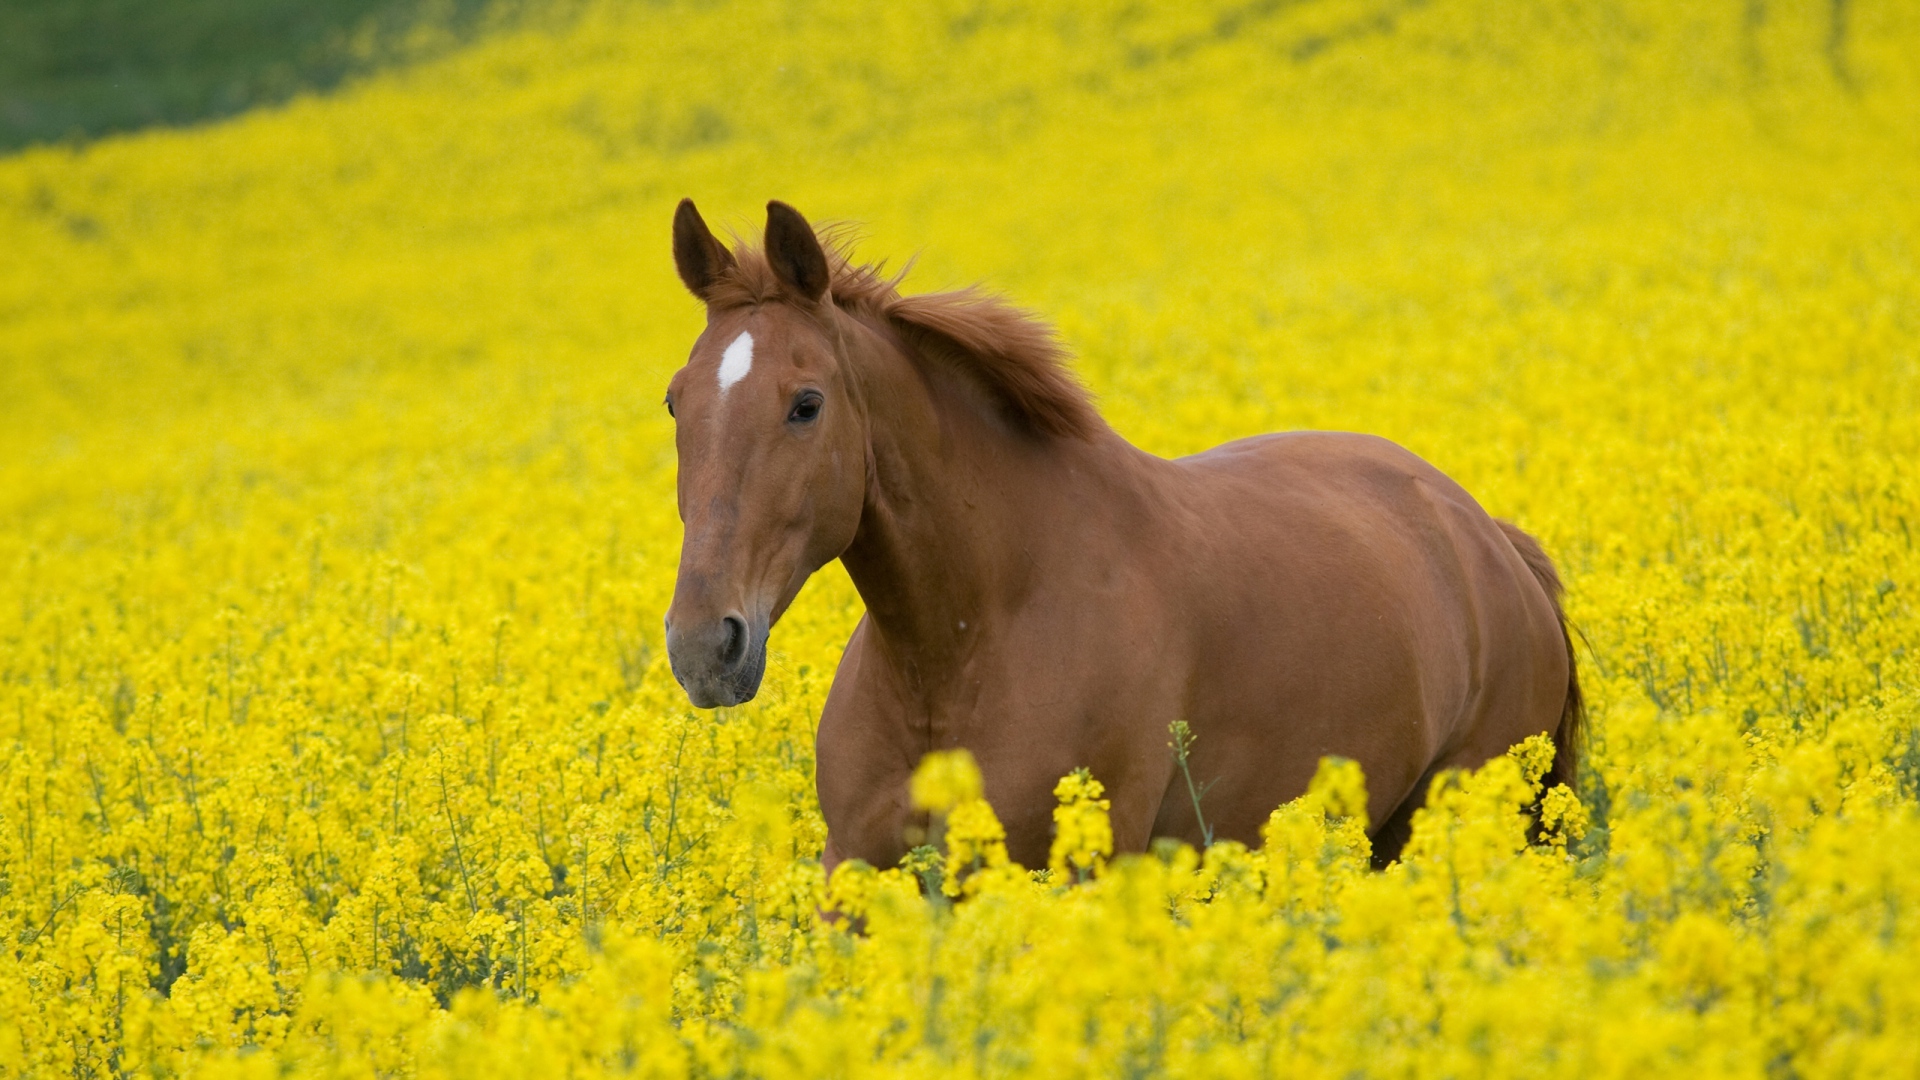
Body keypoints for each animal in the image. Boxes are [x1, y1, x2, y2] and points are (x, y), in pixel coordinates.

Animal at [660, 197, 1589, 868]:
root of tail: (1490, 540)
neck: (962, 647)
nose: (705, 646)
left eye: (806, 404)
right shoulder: (854, 874)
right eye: (676, 400)